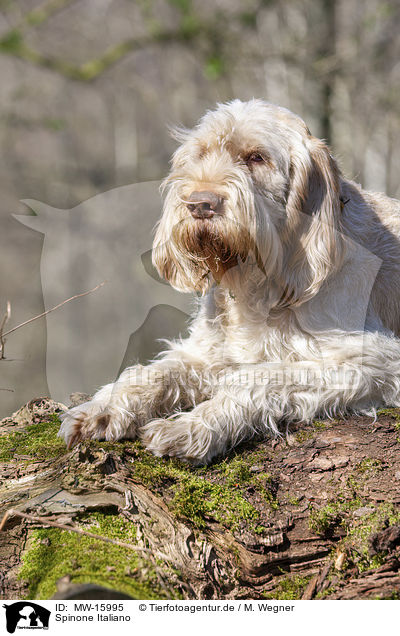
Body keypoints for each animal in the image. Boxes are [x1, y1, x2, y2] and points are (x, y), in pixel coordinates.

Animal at [57, 100, 400, 468]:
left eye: (256, 157)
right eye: (201, 154)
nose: (199, 204)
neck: (257, 279)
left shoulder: (375, 360)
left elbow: (257, 379)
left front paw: (192, 428)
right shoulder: (209, 353)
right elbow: (152, 373)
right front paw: (102, 407)